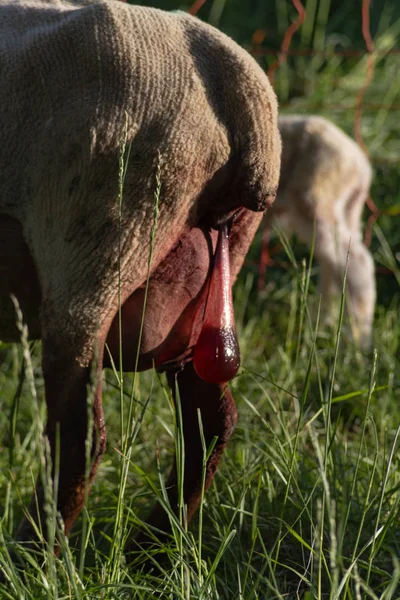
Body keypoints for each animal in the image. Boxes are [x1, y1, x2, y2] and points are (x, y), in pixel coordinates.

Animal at [0, 0, 282, 560]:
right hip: (202, 284)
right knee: (210, 421)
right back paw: (155, 549)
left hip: (93, 254)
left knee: (81, 436)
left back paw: (32, 553)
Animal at [266, 115, 376, 350]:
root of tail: (361, 166)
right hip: (346, 212)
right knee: (335, 264)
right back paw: (325, 324)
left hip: (316, 203)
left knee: (357, 263)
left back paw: (356, 342)